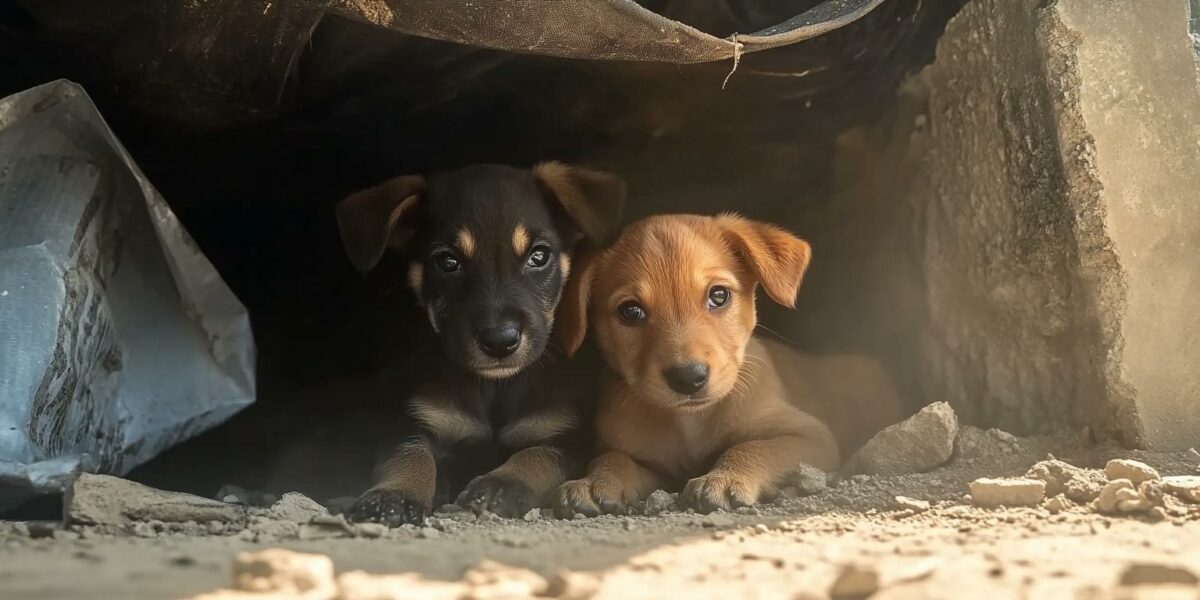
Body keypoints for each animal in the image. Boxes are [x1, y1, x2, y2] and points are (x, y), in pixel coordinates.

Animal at [333, 163, 624, 525]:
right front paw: (393, 495)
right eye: (447, 262)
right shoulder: (411, 421)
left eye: (539, 256)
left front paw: (500, 484)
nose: (500, 341)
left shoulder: (566, 437)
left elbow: (537, 455)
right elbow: (409, 454)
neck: (494, 387)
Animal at [552, 214, 902, 516]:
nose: (688, 377)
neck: (690, 421)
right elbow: (613, 457)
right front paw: (596, 482)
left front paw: (724, 479)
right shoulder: (655, 466)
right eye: (630, 311)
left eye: (718, 295)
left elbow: (750, 448)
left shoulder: (809, 436)